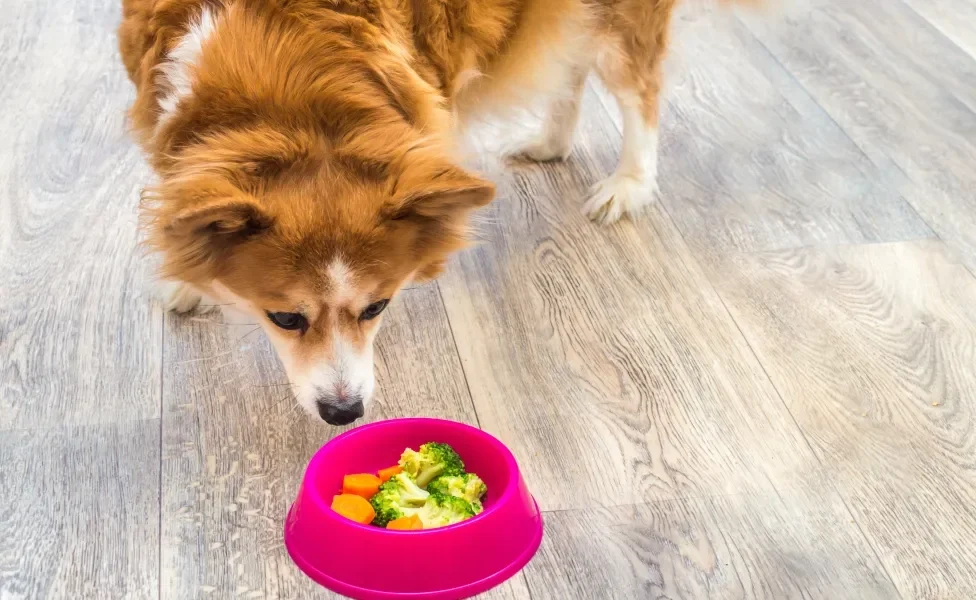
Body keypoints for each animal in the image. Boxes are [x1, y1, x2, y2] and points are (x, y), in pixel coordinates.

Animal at [120, 0, 748, 426]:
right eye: (285, 319)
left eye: (378, 306)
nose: (344, 414)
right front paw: (192, 275)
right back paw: (550, 141)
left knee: (637, 87)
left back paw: (629, 182)